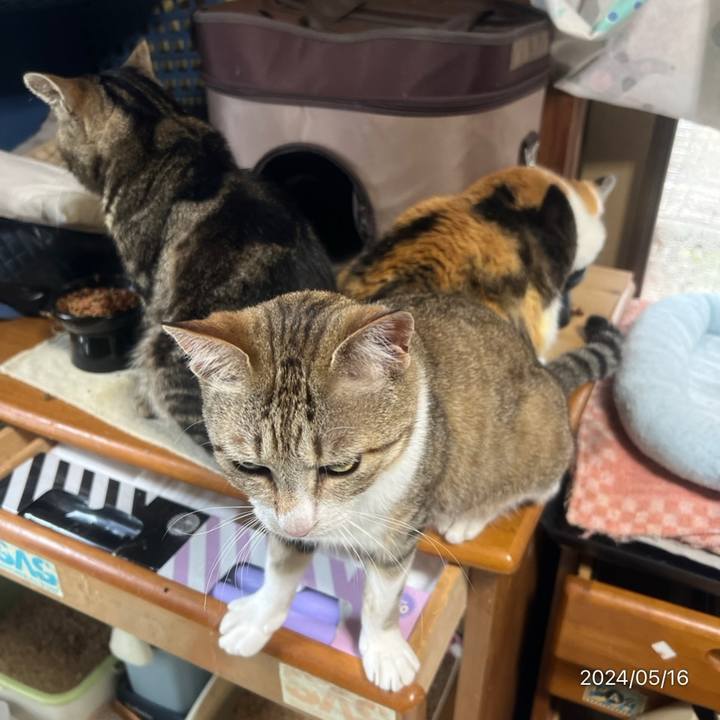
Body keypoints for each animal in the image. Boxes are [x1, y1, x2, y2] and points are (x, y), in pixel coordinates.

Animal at [163, 289, 622, 691]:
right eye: (250, 468)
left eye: (341, 467)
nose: (299, 525)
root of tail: (543, 371)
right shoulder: (280, 520)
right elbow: (280, 570)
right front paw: (259, 616)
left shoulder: (398, 533)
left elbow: (382, 600)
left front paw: (383, 650)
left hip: (535, 444)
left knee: (539, 485)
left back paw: (468, 517)